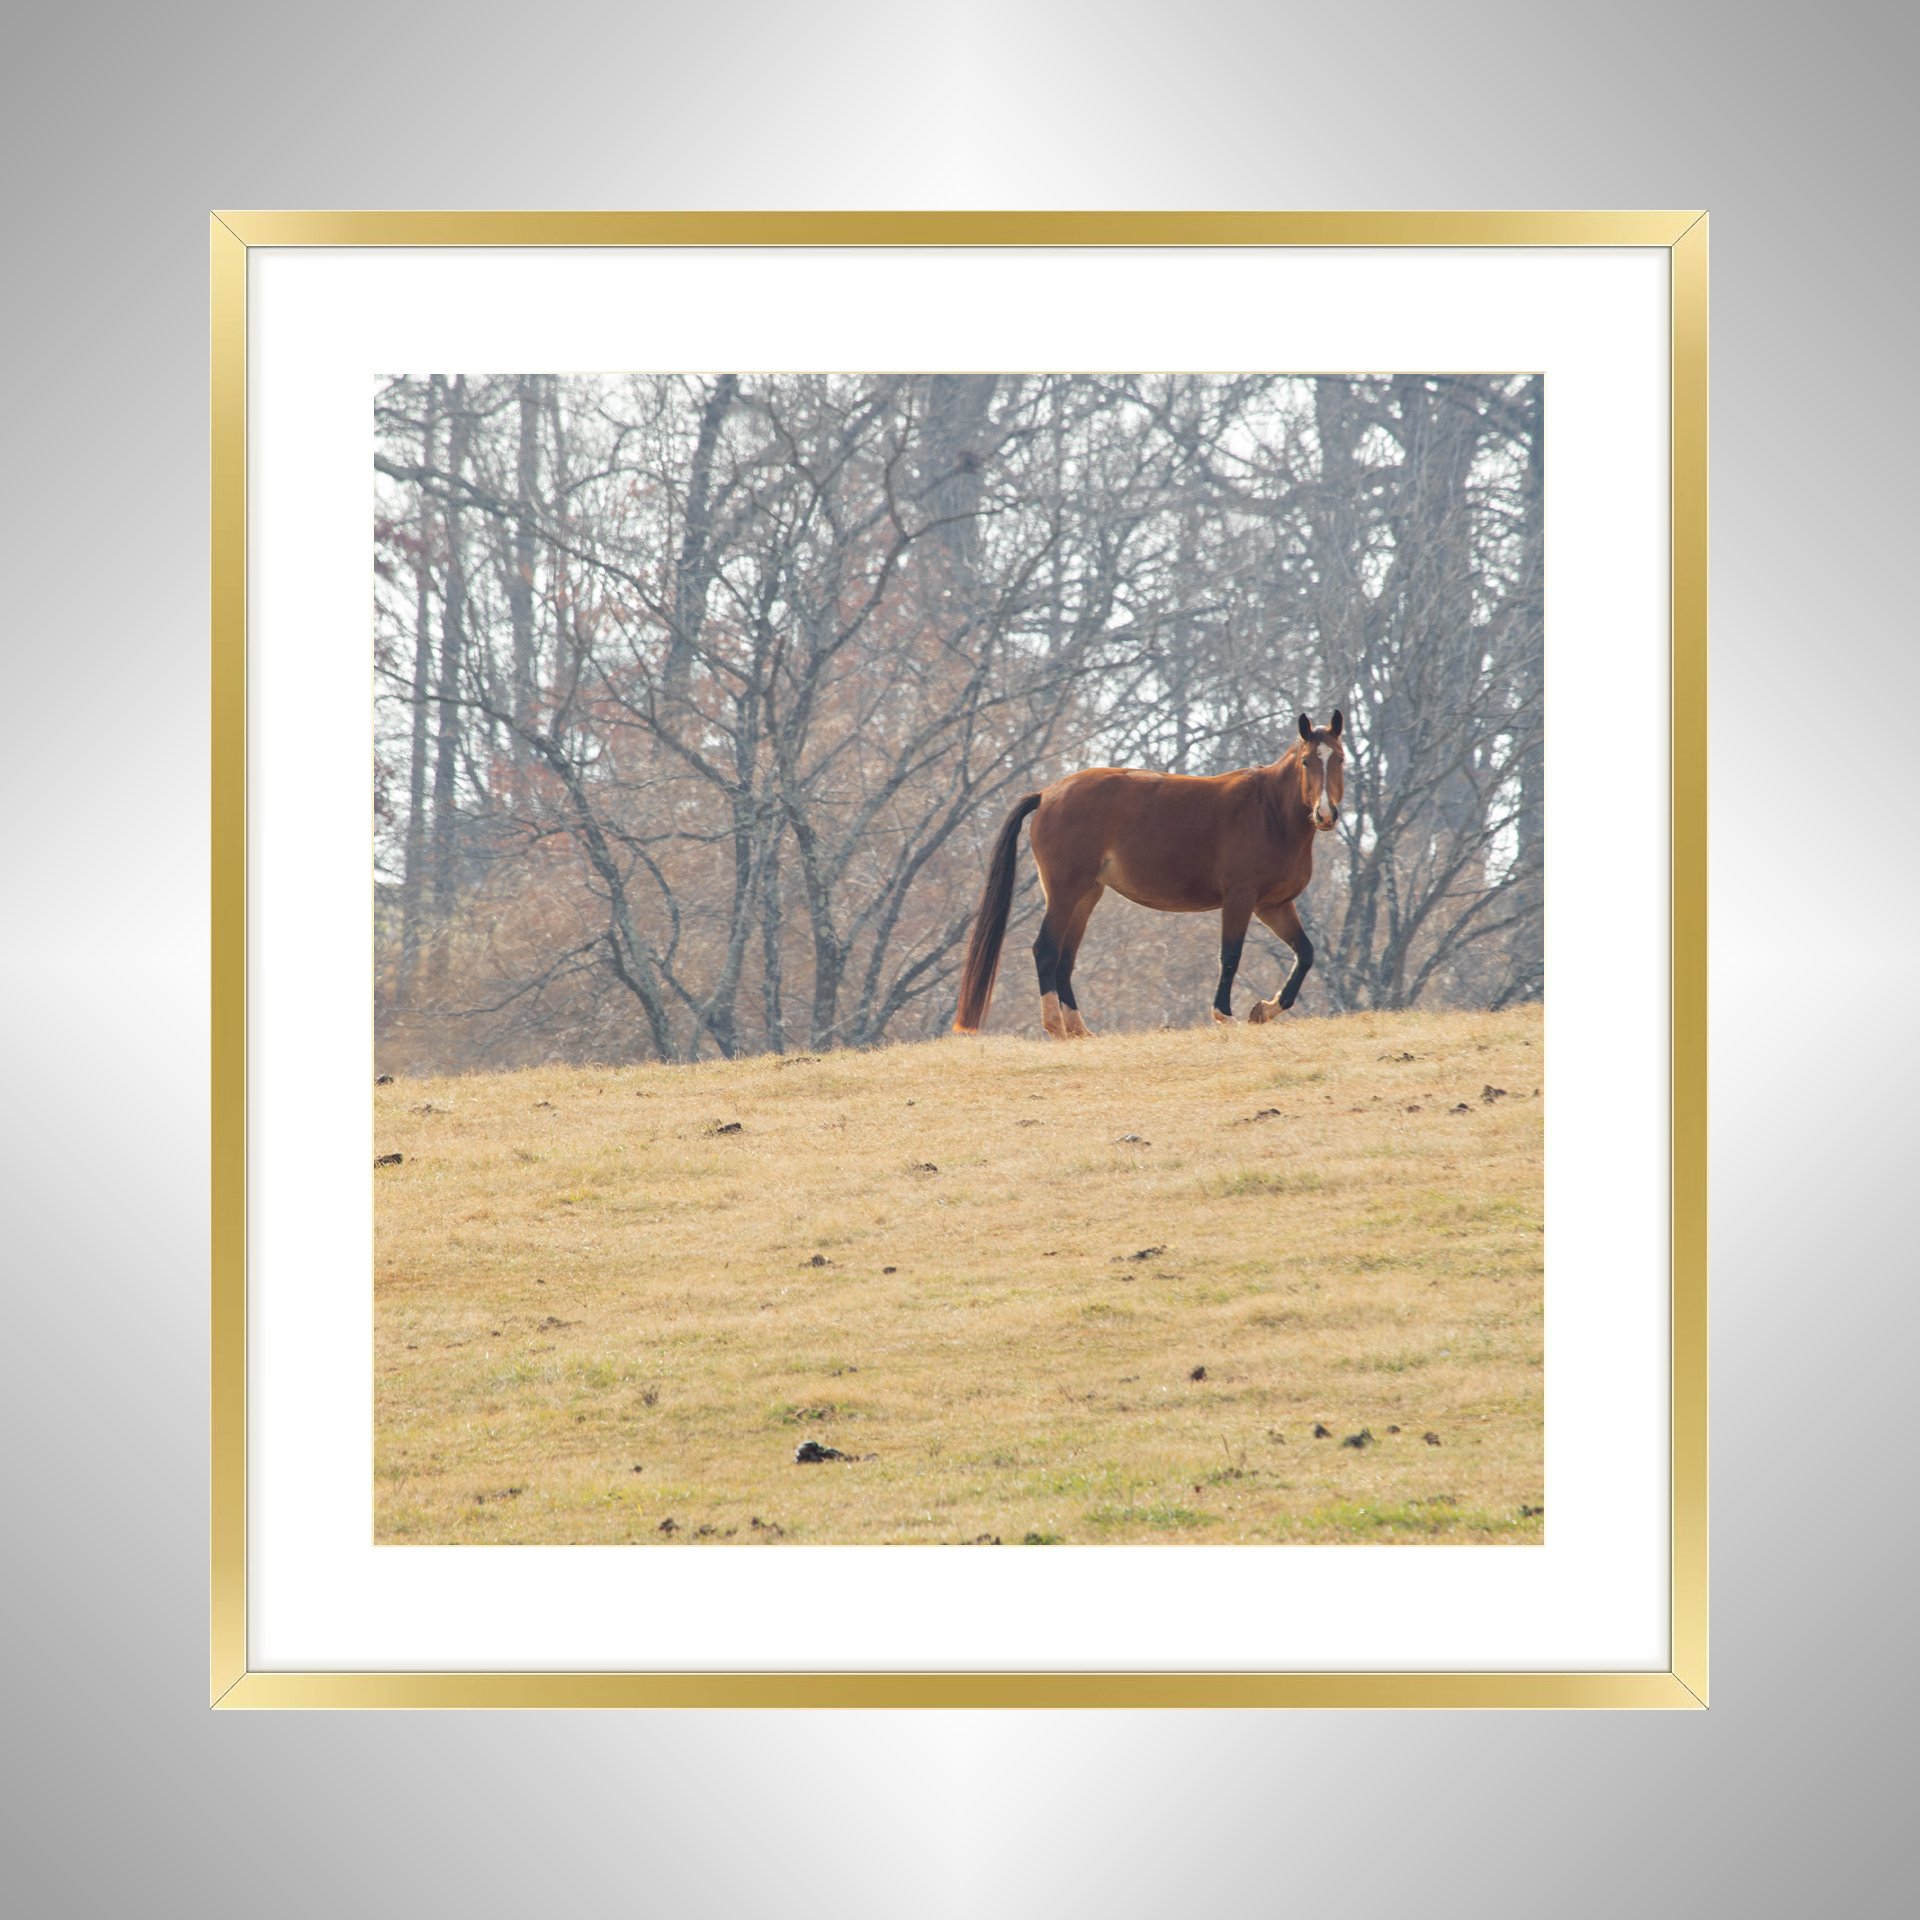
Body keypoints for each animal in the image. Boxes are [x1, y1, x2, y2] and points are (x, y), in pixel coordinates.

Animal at [952, 711, 1346, 1038]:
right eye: (1307, 761)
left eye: (1339, 759)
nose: (1326, 814)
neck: (1269, 812)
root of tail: (1047, 794)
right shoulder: (1240, 898)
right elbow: (1230, 955)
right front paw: (1225, 1015)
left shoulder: (1273, 905)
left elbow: (1305, 953)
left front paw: (1264, 1009)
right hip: (1065, 892)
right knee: (1045, 950)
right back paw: (1056, 1028)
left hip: (1086, 895)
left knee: (1065, 957)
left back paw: (1079, 1029)